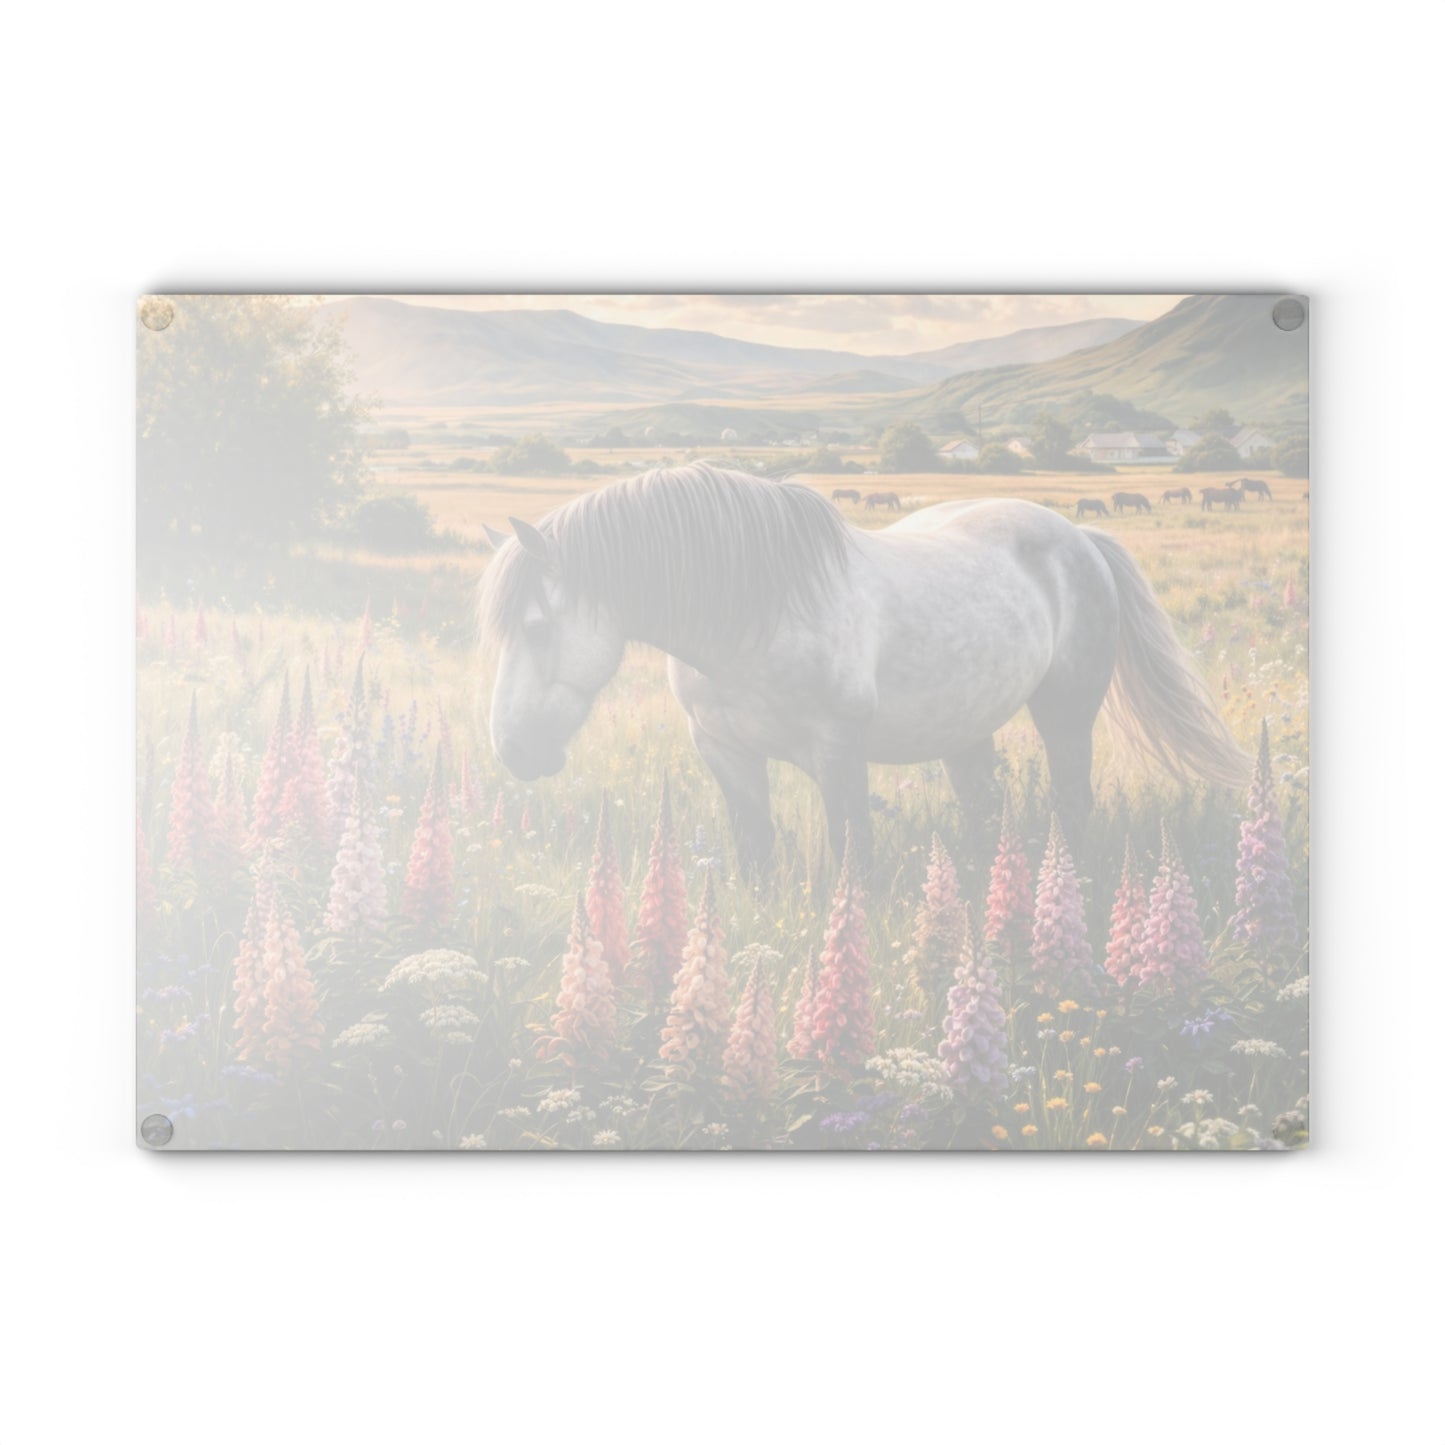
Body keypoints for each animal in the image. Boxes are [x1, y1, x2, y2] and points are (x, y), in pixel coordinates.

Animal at [478, 464, 1247, 873]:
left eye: (537, 628)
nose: (511, 752)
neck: (753, 617)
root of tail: (1077, 534)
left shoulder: (837, 753)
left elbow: (855, 854)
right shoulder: (723, 751)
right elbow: (755, 851)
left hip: (1066, 715)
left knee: (1070, 801)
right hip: (965, 732)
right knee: (983, 806)